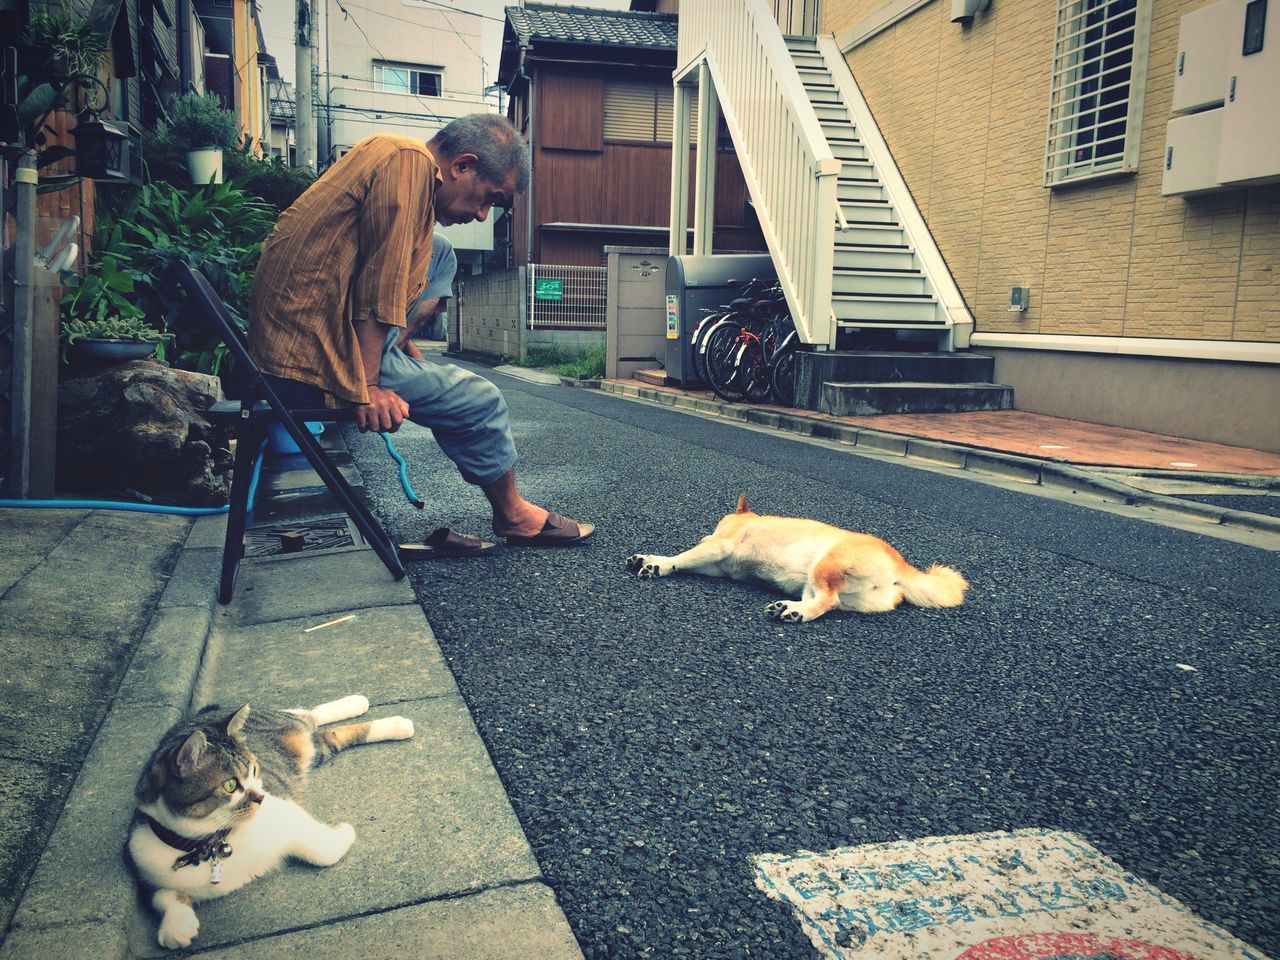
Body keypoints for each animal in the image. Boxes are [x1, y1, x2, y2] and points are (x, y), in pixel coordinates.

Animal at [127, 696, 412, 952]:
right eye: (230, 785)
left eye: (255, 770)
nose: (261, 796)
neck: (212, 842)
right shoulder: (143, 867)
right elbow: (161, 895)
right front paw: (177, 926)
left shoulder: (285, 811)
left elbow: (324, 853)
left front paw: (344, 833)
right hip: (310, 751)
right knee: (322, 730)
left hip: (298, 739)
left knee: (311, 717)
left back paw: (385, 718)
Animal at [622, 496, 967, 624]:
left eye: (716, 530)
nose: (707, 534)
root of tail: (902, 565)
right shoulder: (718, 566)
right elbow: (684, 560)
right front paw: (649, 559)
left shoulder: (719, 548)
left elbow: (681, 555)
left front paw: (656, 563)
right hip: (828, 588)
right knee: (828, 603)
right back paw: (789, 608)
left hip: (823, 568)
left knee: (826, 600)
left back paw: (795, 612)